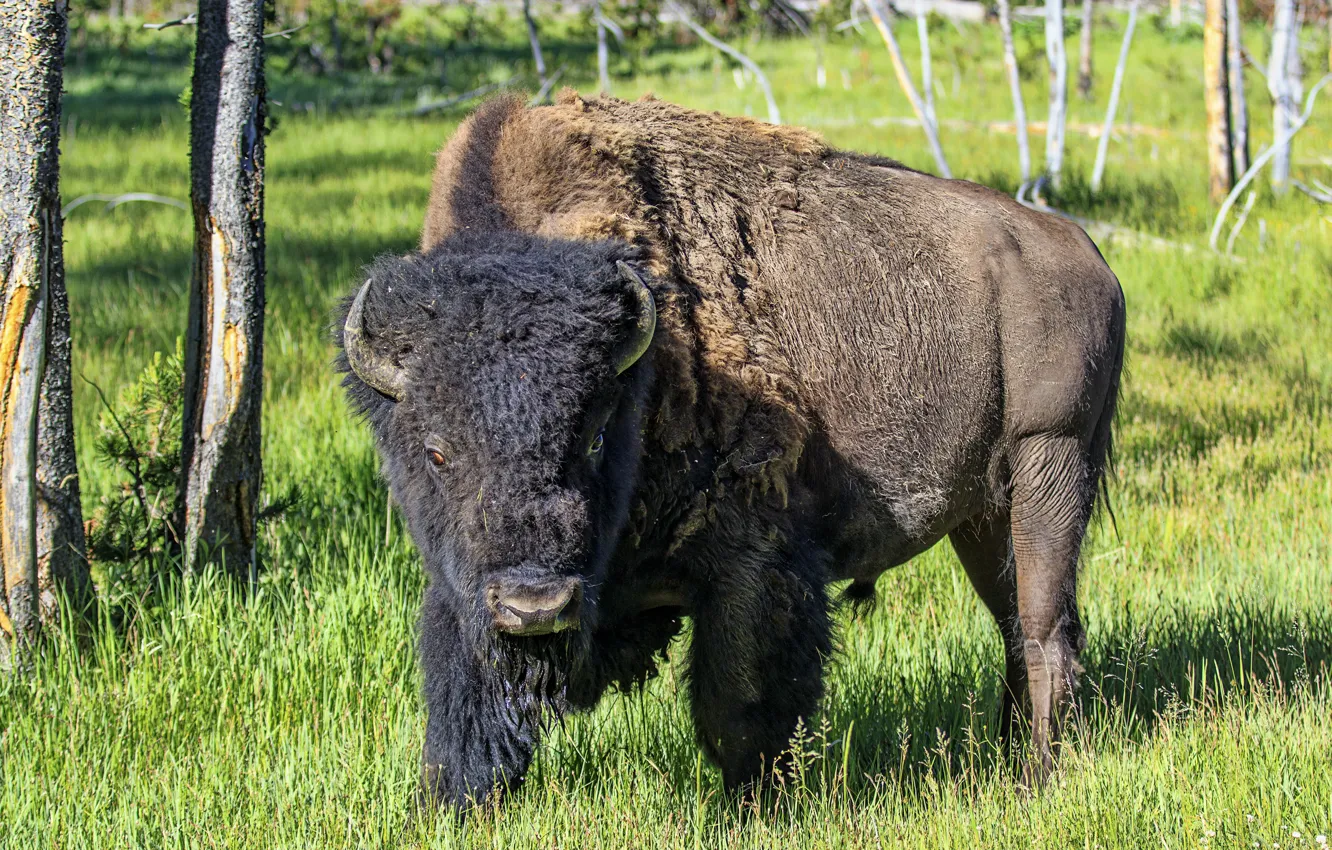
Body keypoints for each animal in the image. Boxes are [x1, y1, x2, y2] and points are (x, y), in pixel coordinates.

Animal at [336, 92, 1125, 809]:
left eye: (595, 434)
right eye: (437, 452)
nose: (536, 604)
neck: (649, 356)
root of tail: (1088, 255)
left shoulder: (752, 564)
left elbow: (739, 706)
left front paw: (753, 804)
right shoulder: (460, 587)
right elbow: (460, 705)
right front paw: (450, 805)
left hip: (1052, 464)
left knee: (1048, 633)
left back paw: (1038, 782)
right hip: (983, 513)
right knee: (1014, 627)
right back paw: (1009, 761)